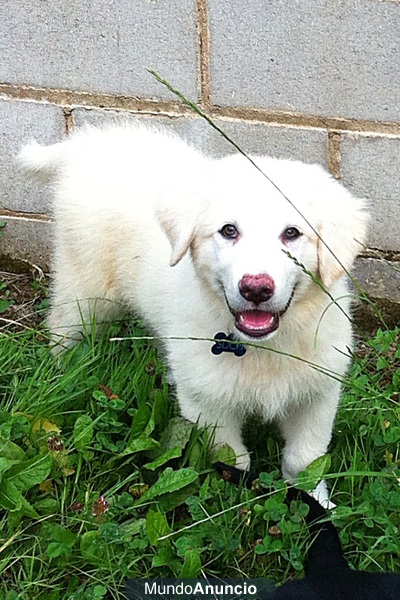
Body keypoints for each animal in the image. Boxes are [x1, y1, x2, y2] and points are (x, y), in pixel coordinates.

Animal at [18, 122, 368, 496]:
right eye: (229, 231)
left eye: (292, 233)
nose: (255, 288)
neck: (264, 348)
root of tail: (83, 144)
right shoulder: (208, 404)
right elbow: (232, 462)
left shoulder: (317, 395)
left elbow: (304, 462)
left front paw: (318, 504)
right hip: (86, 287)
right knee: (63, 329)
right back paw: (65, 375)